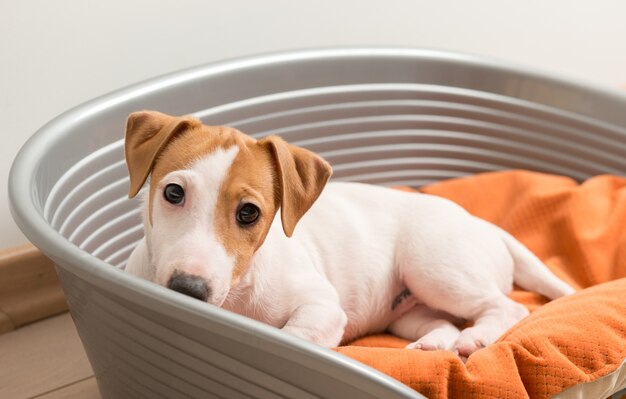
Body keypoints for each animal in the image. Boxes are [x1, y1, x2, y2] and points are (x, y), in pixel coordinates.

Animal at [124, 111, 572, 358]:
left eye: (249, 213)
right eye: (173, 193)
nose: (188, 288)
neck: (237, 294)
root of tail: (484, 225)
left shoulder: (321, 308)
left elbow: (292, 335)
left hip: (435, 269)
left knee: (506, 308)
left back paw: (475, 338)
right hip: (408, 313)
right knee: (442, 323)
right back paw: (436, 345)